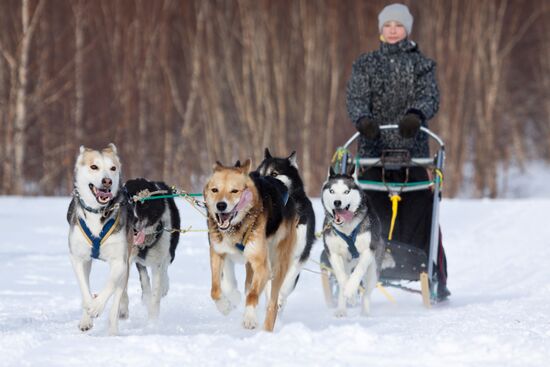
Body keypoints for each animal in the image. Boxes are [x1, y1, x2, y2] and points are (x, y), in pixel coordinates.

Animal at [123, 179, 181, 322]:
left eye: (145, 204)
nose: (133, 220)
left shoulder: (159, 260)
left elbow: (157, 290)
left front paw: (153, 321)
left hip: (170, 252)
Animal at [204, 160, 298, 332]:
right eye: (215, 190)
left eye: (234, 191)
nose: (221, 205)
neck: (235, 229)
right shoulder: (217, 254)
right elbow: (215, 290)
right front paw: (225, 306)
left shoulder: (262, 266)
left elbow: (253, 295)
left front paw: (249, 318)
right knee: (248, 286)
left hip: (278, 266)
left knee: (272, 304)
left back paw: (266, 331)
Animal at [322, 168, 386, 318]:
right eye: (332, 191)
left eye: (346, 191)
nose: (337, 202)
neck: (347, 229)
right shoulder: (332, 253)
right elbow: (342, 278)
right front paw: (349, 296)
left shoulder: (368, 251)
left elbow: (358, 272)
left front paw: (351, 291)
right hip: (345, 263)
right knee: (343, 279)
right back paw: (341, 310)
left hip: (373, 269)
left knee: (367, 292)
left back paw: (365, 313)